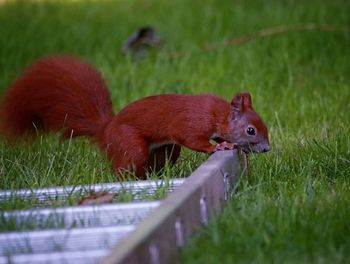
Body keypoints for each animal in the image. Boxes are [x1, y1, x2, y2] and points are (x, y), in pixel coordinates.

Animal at [0, 55, 270, 178]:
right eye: (251, 130)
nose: (267, 149)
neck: (218, 115)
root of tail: (105, 130)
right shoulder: (193, 122)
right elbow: (192, 138)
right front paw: (218, 146)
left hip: (165, 151)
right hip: (129, 143)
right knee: (124, 166)